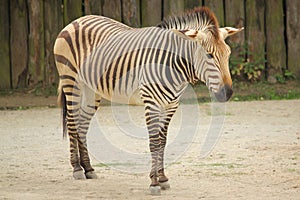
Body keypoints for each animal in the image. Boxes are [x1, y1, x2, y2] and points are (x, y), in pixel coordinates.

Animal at [54, 6, 244, 195]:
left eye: (228, 54)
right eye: (209, 55)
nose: (227, 93)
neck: (173, 65)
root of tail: (77, 20)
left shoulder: (170, 105)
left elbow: (162, 142)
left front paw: (163, 179)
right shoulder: (152, 104)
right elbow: (154, 142)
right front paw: (154, 183)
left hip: (91, 90)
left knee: (82, 124)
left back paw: (88, 169)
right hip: (71, 81)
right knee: (72, 122)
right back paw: (77, 169)